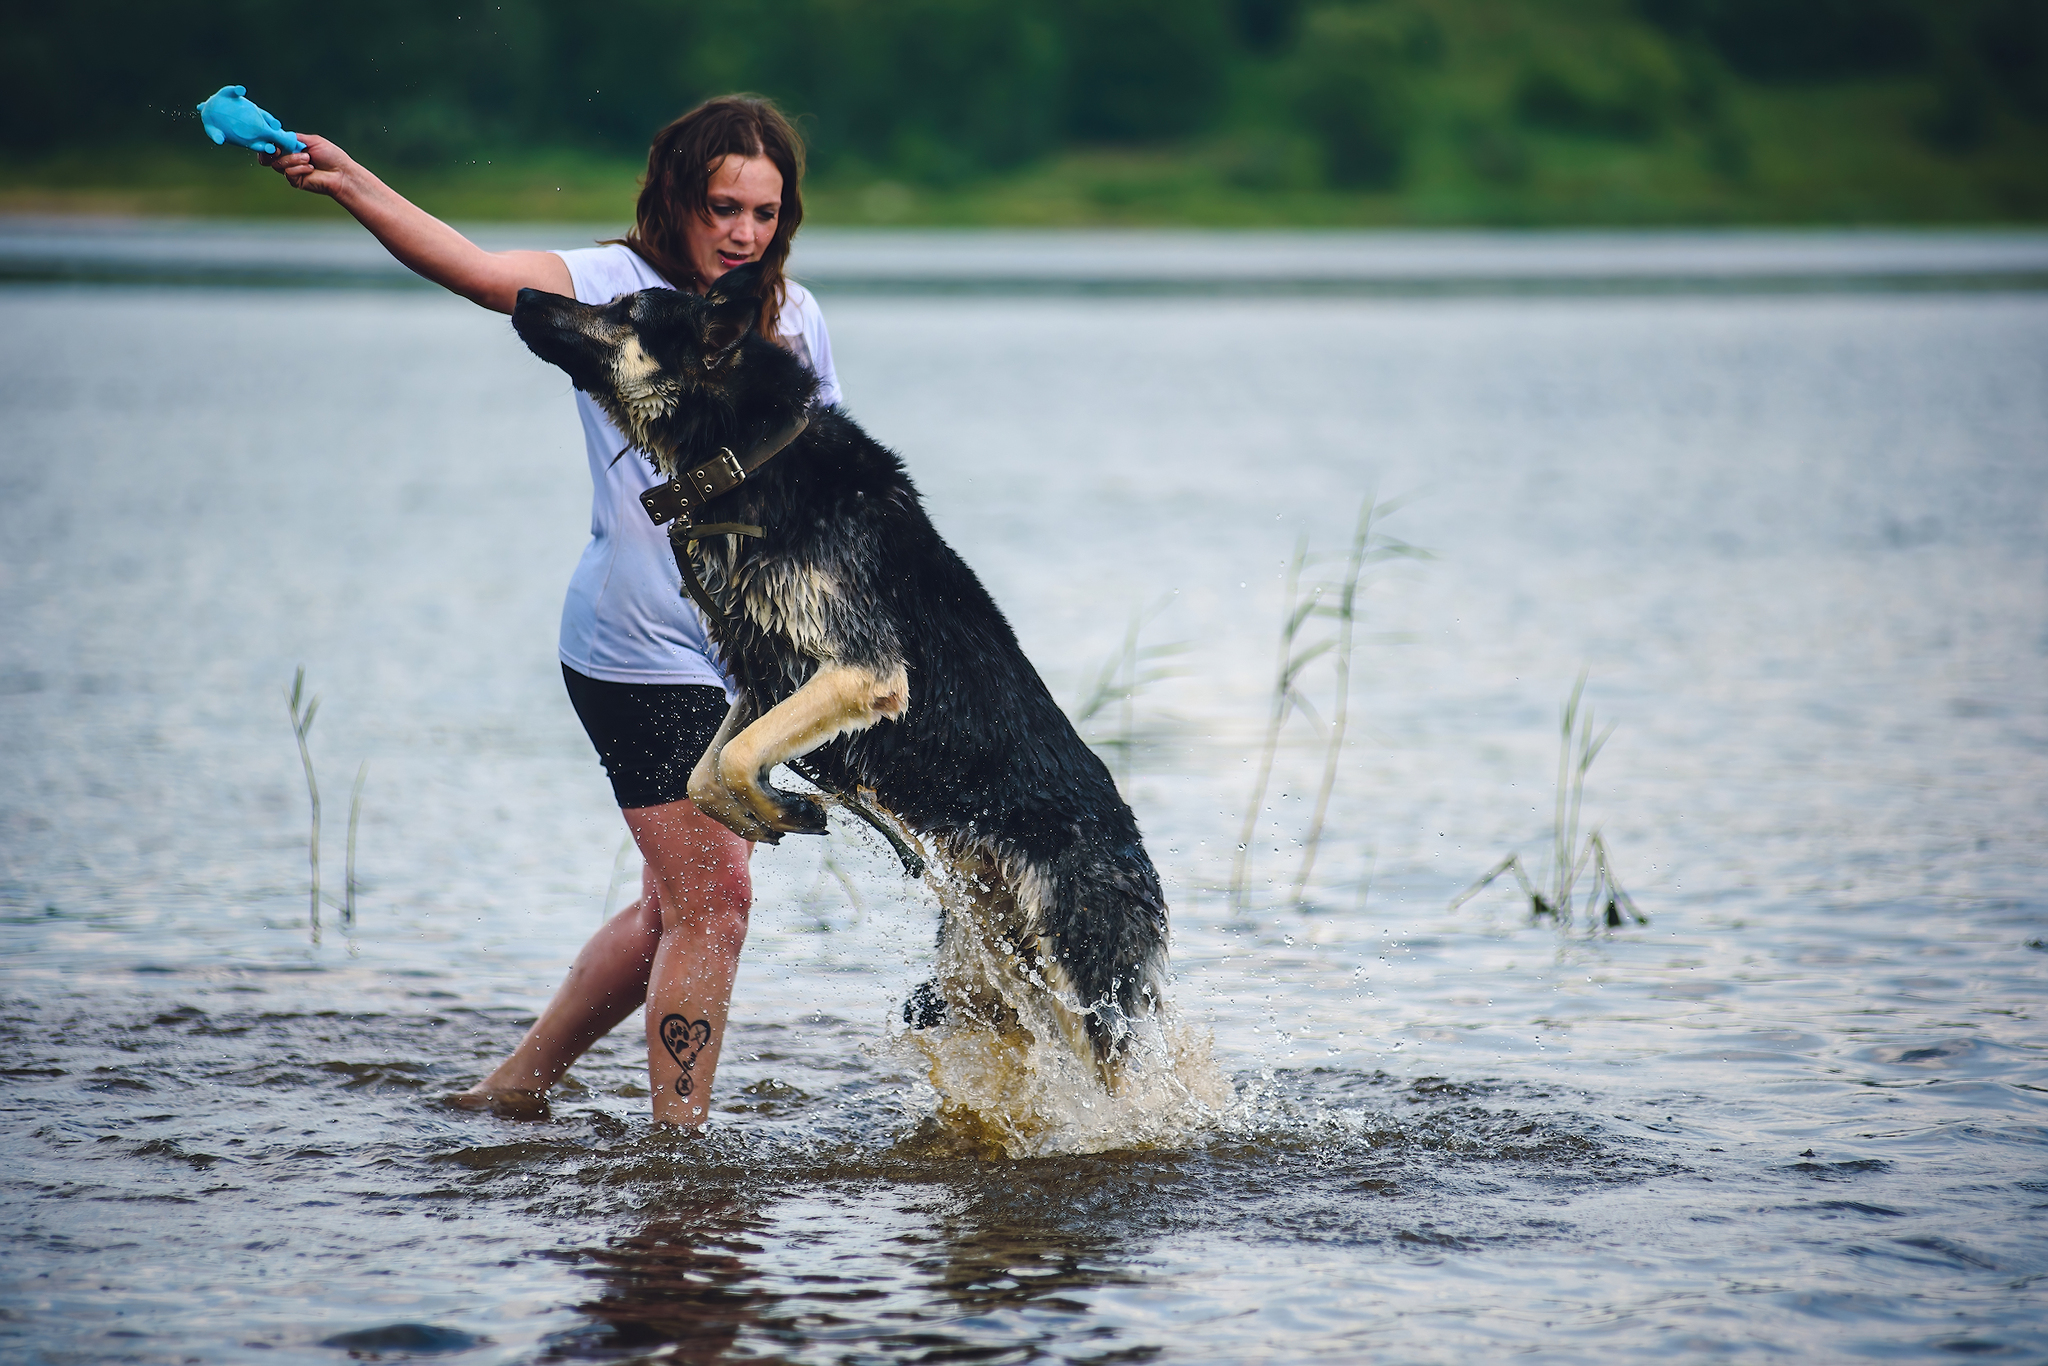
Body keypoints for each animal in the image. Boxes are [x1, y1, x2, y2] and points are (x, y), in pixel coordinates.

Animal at [512, 264, 1171, 1081]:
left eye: (624, 308)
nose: (521, 294)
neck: (749, 454)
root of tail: (1138, 863)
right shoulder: (766, 674)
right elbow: (705, 775)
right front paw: (773, 807)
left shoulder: (861, 670)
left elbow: (735, 757)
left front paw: (772, 803)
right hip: (984, 976)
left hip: (1086, 1002)